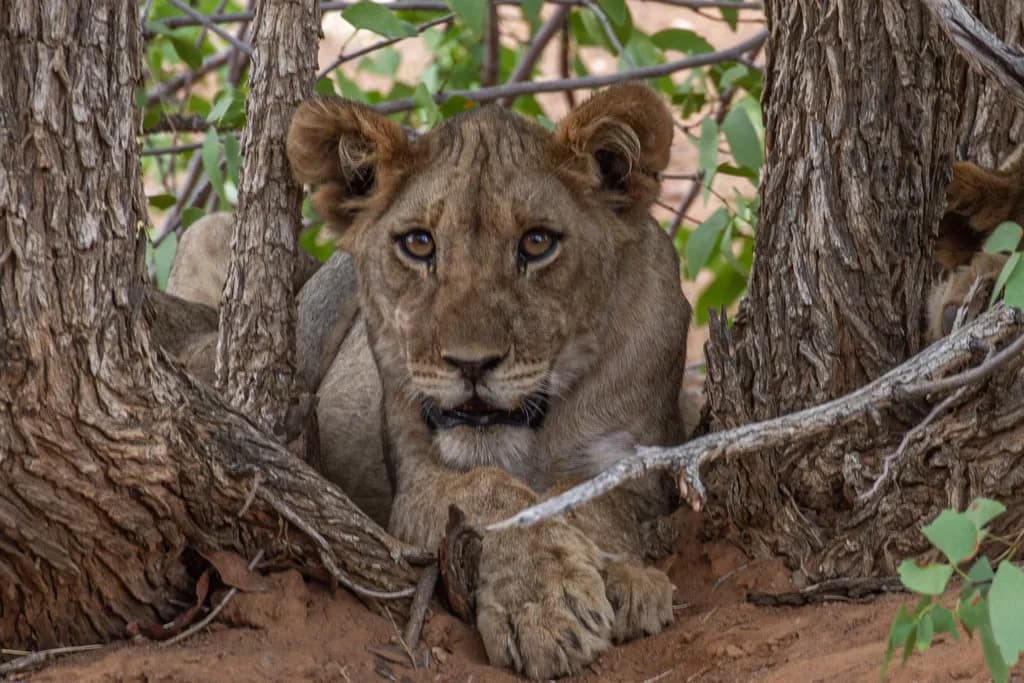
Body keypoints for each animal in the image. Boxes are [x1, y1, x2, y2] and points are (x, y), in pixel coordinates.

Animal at [287, 83, 691, 680]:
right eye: (419, 244)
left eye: (538, 242)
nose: (471, 364)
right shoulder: (417, 481)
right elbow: (493, 491)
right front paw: (544, 603)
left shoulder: (644, 465)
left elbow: (588, 499)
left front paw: (628, 580)